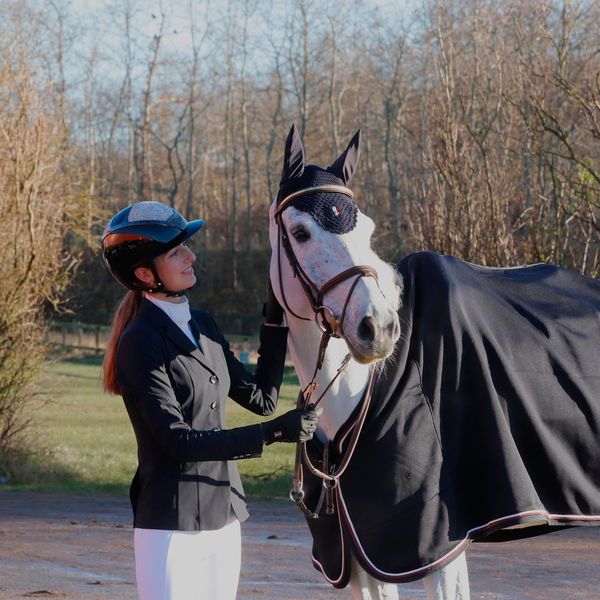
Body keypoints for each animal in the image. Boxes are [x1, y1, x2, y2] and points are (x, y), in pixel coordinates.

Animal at [270, 123, 600, 600]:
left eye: (367, 230)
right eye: (299, 233)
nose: (379, 327)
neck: (368, 388)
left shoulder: (440, 547)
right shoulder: (362, 558)